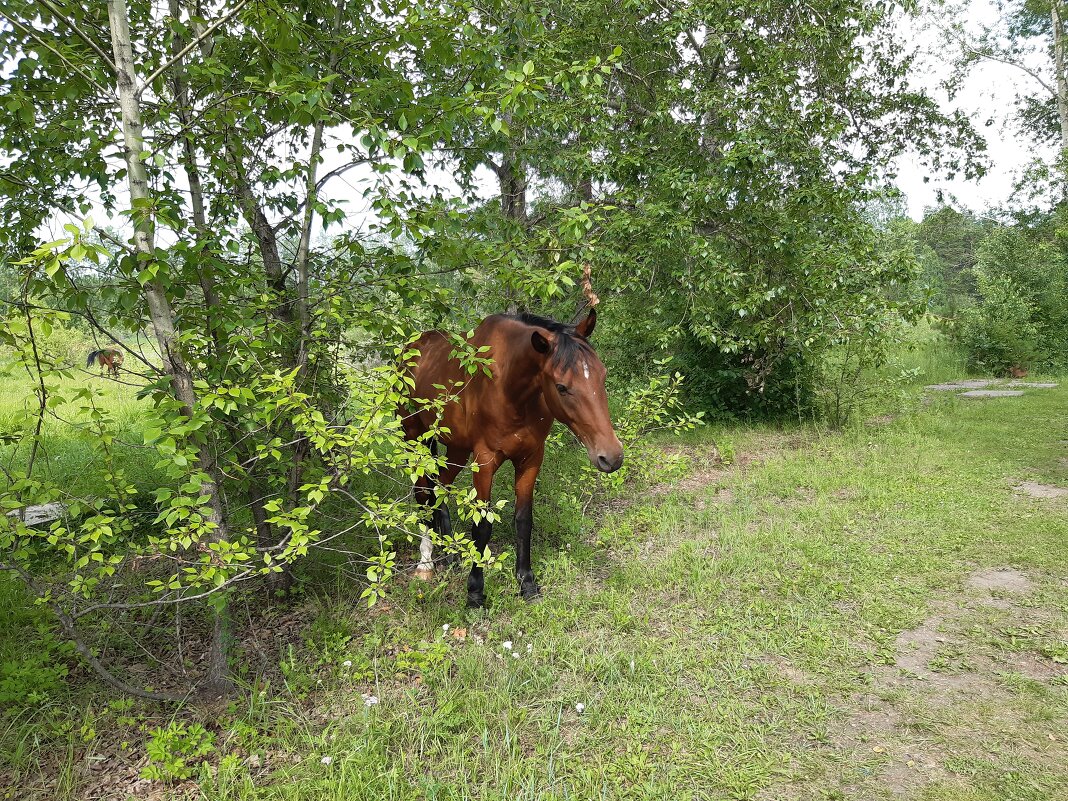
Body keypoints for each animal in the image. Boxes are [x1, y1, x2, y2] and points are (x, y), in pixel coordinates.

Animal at [401, 309, 623, 606]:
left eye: (602, 375)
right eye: (561, 387)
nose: (612, 456)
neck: (508, 388)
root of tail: (413, 346)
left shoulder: (531, 458)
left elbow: (523, 520)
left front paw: (526, 583)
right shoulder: (484, 461)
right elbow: (482, 525)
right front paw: (475, 591)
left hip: (457, 449)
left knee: (440, 487)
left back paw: (449, 551)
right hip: (414, 439)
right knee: (423, 491)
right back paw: (426, 561)